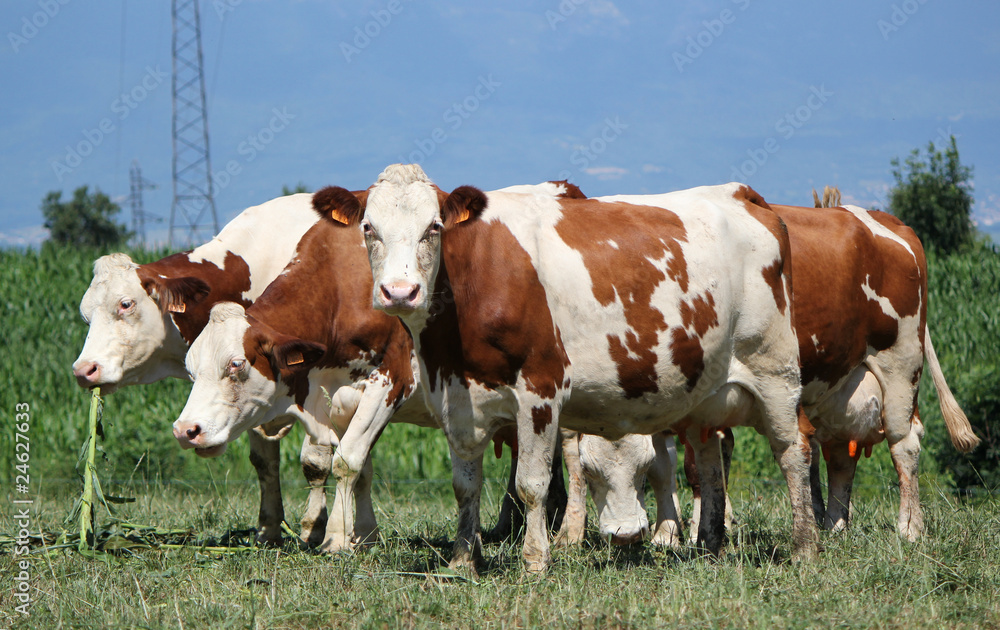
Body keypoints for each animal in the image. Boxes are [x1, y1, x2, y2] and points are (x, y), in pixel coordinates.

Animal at [74, 195, 334, 544]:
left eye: (126, 304)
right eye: (85, 314)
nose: (83, 369)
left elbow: (316, 460)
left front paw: (315, 529)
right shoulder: (250, 401)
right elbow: (265, 462)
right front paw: (268, 530)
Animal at [326, 164, 820, 576]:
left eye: (434, 227)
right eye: (369, 228)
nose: (400, 292)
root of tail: (740, 193)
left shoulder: (540, 391)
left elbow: (532, 483)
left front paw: (534, 560)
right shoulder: (455, 397)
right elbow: (464, 485)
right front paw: (463, 561)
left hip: (775, 372)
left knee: (792, 449)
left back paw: (804, 547)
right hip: (706, 392)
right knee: (710, 457)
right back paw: (710, 546)